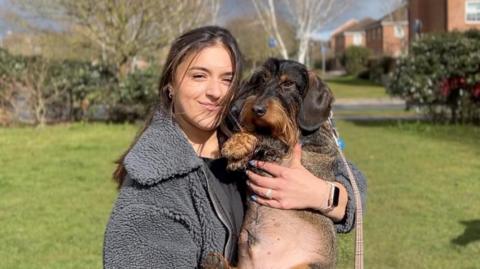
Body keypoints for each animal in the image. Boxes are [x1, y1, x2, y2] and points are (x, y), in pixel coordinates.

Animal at [202, 57, 338, 266]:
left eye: (288, 83)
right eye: (262, 79)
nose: (256, 109)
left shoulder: (306, 143)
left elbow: (269, 137)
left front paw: (236, 144)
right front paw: (238, 156)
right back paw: (215, 262)